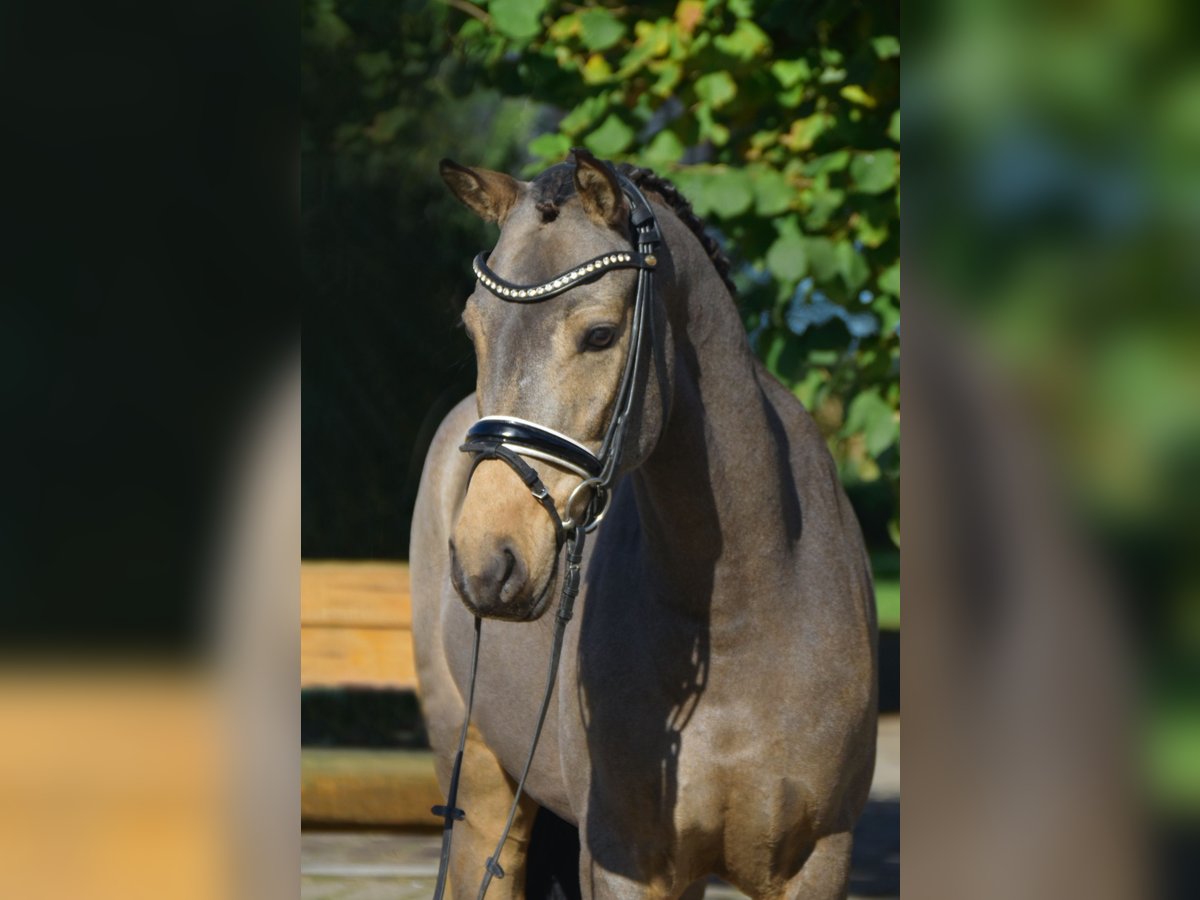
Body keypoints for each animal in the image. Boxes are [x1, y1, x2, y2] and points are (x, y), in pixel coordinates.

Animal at [410, 150, 873, 900]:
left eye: (599, 334)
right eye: (474, 330)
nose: (488, 562)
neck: (742, 607)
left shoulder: (818, 860)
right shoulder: (622, 861)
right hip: (477, 778)